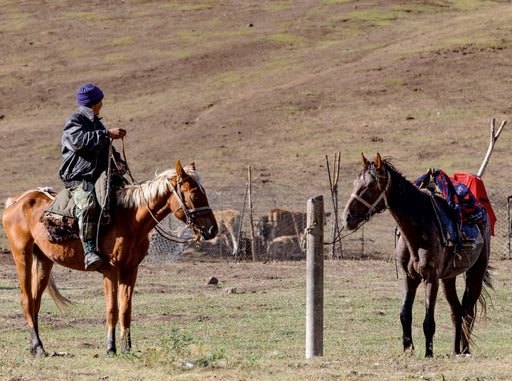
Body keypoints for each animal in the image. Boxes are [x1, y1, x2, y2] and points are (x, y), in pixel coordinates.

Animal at [0, 160, 216, 356]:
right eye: (195, 194)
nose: (212, 229)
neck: (130, 220)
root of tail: (15, 201)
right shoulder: (110, 270)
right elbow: (112, 309)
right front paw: (111, 348)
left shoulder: (130, 270)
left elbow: (126, 310)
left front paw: (127, 348)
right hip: (22, 254)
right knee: (26, 299)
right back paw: (38, 347)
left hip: (44, 260)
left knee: (35, 302)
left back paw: (36, 346)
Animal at [340, 152, 492, 356]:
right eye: (355, 183)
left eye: (371, 184)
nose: (347, 218)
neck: (417, 230)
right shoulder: (409, 278)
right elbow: (405, 314)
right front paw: (408, 349)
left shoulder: (431, 278)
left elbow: (429, 322)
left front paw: (428, 353)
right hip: (448, 278)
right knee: (456, 311)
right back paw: (455, 351)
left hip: (476, 272)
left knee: (467, 311)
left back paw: (465, 351)